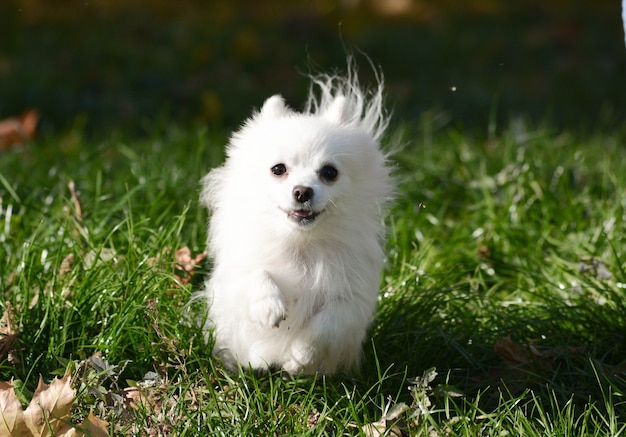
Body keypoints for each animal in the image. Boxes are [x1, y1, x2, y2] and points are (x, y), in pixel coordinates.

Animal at [196, 65, 390, 374]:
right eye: (278, 169)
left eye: (329, 172)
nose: (302, 191)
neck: (301, 245)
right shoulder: (234, 280)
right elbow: (255, 273)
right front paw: (269, 306)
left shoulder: (351, 299)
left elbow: (327, 324)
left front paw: (300, 358)